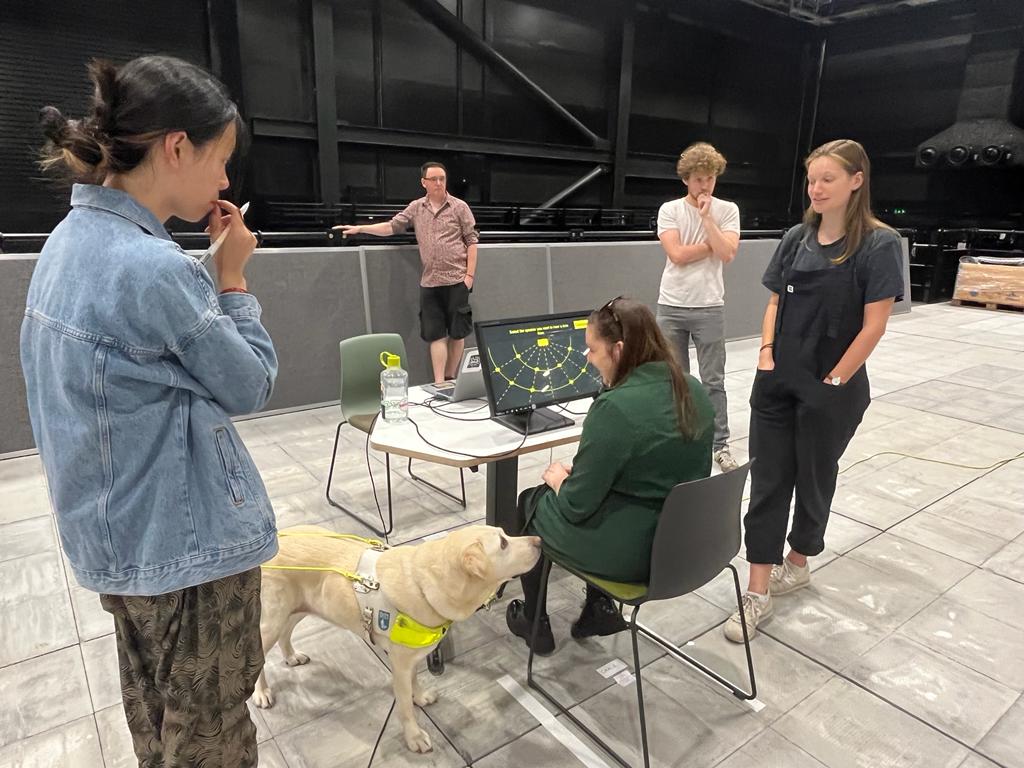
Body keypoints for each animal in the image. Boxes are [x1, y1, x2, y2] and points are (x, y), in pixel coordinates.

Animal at [251, 528, 540, 753]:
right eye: (503, 543)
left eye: (505, 534)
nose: (538, 540)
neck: (426, 585)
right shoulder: (399, 665)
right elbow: (404, 706)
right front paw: (414, 736)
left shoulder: (412, 656)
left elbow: (415, 681)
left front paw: (420, 697)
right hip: (271, 621)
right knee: (258, 658)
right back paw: (261, 693)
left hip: (300, 607)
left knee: (286, 633)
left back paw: (291, 655)